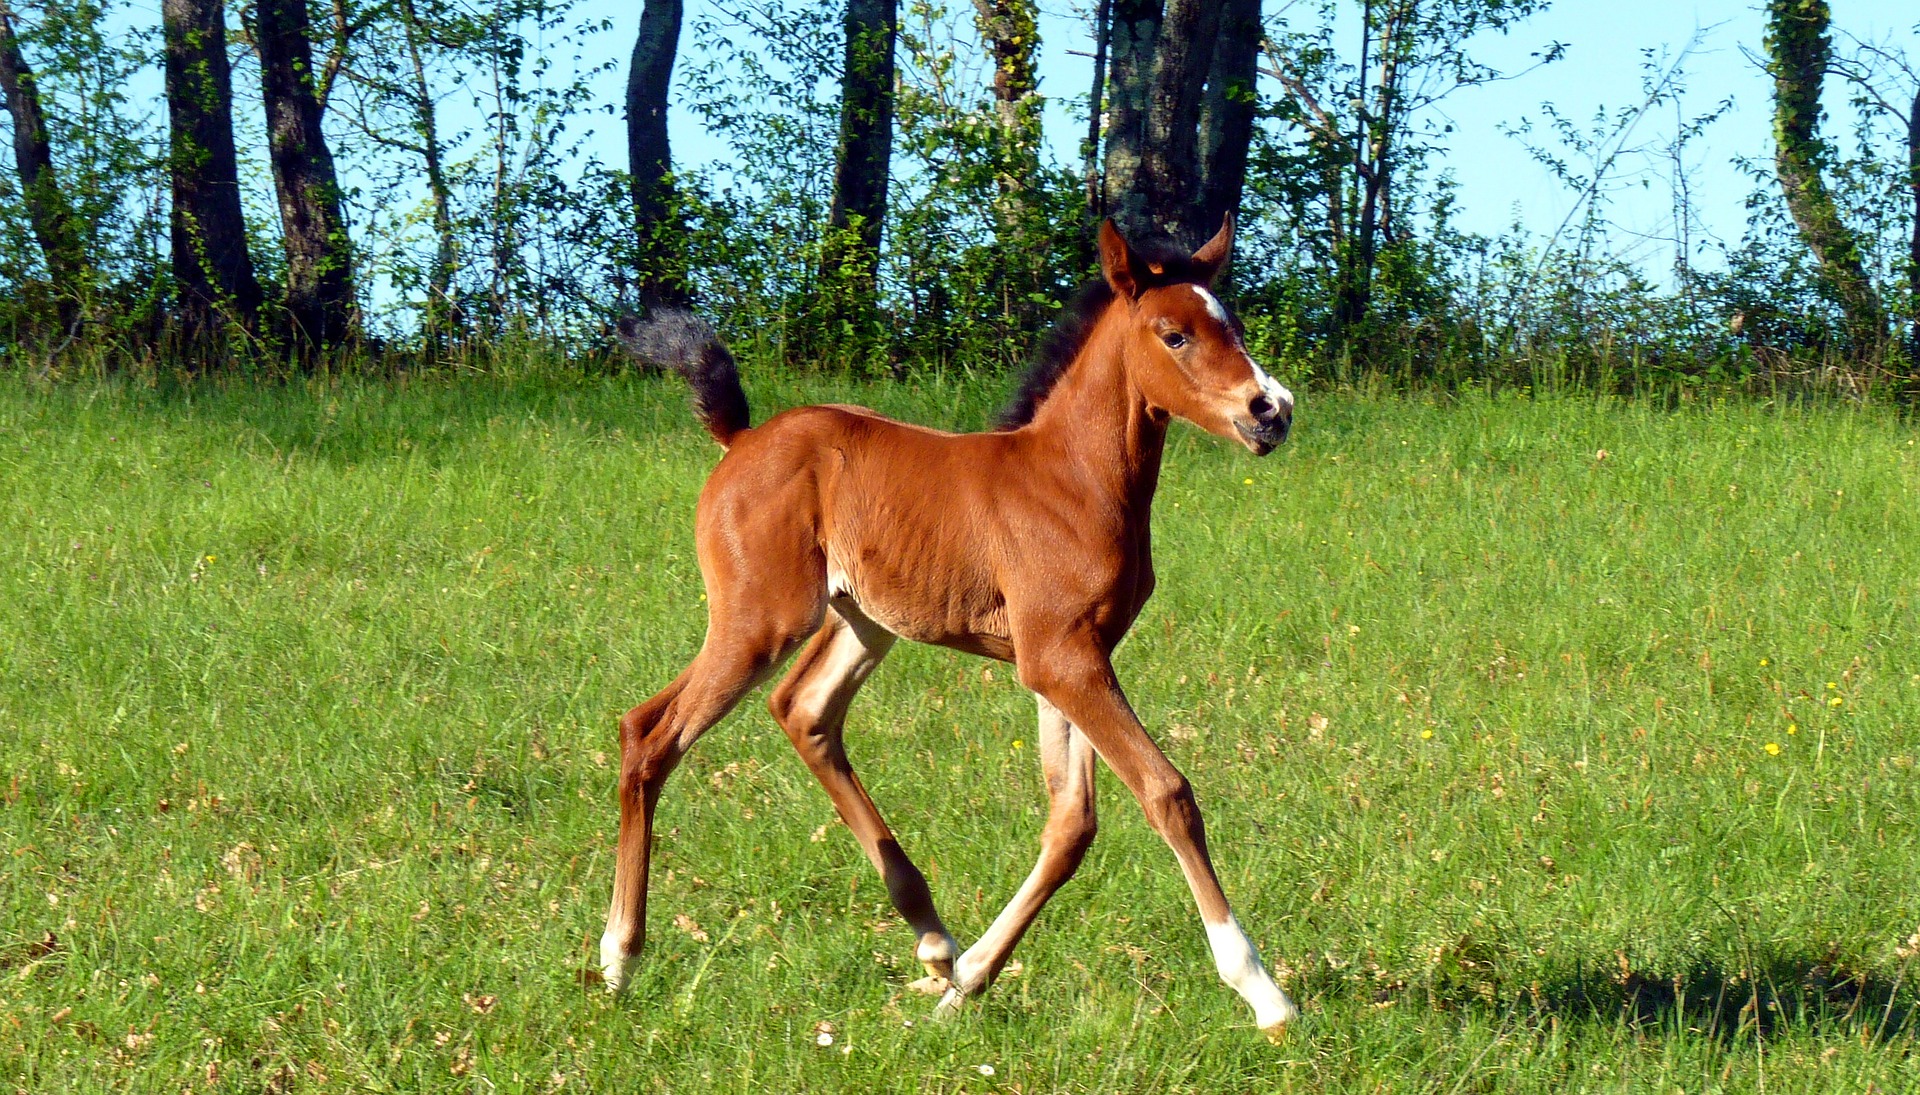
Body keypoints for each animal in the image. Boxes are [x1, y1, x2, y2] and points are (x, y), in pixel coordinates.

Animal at [601, 214, 1300, 1038]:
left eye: (1234, 326)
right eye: (1175, 335)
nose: (1271, 409)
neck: (1075, 477)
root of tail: (739, 439)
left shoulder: (1072, 657)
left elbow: (1071, 826)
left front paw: (966, 985)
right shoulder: (1060, 660)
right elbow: (1168, 793)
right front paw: (1262, 990)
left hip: (863, 621)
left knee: (803, 710)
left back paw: (934, 941)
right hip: (759, 620)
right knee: (650, 733)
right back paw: (618, 957)